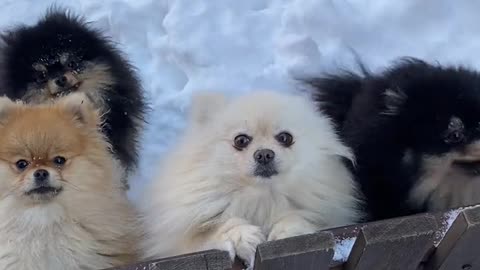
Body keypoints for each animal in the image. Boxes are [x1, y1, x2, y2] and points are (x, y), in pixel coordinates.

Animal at [141, 89, 362, 266]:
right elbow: (216, 229)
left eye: (285, 137)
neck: (260, 197)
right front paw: (245, 237)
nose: (264, 154)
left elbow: (298, 218)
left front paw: (287, 234)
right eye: (241, 140)